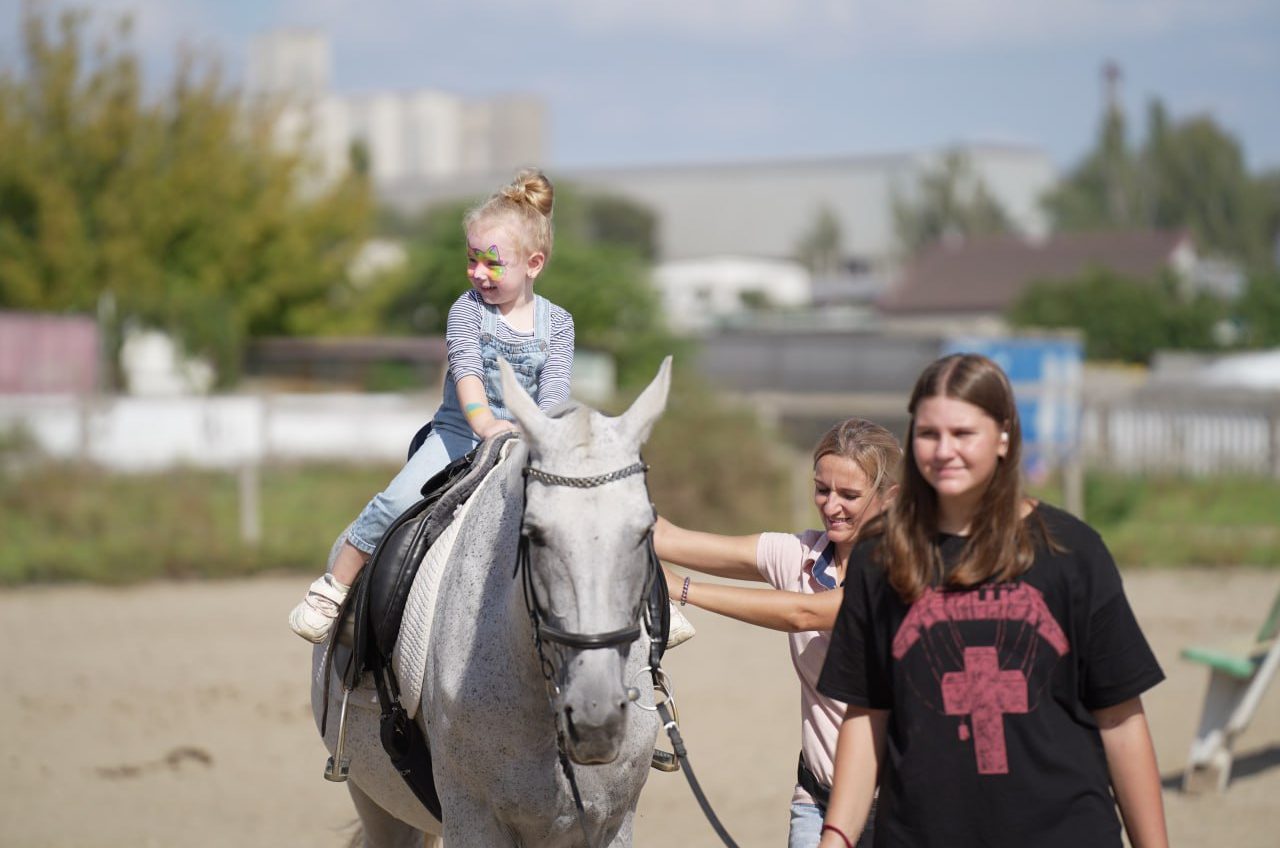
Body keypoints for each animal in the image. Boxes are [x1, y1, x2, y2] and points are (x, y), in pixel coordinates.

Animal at [312, 356, 670, 845]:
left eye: (646, 530)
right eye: (533, 533)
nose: (596, 716)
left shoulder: (614, 822)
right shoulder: (474, 819)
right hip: (379, 804)